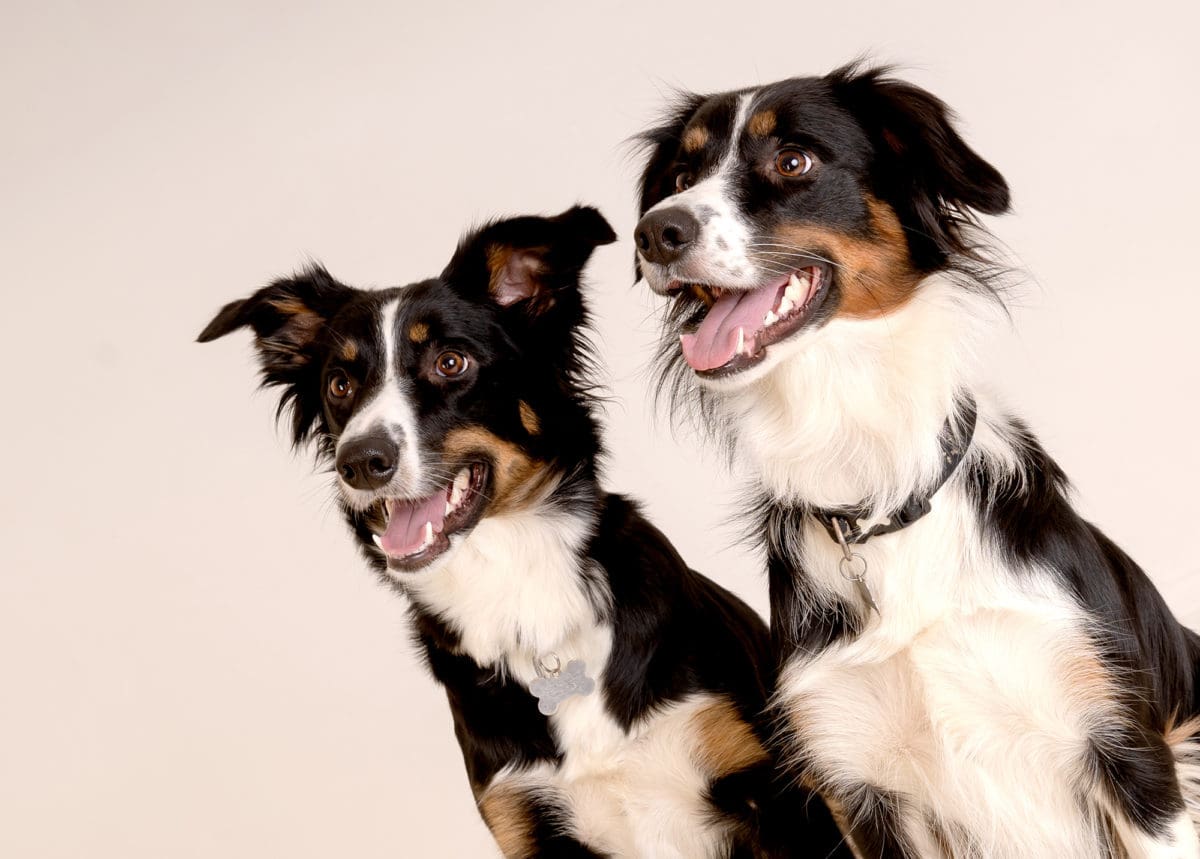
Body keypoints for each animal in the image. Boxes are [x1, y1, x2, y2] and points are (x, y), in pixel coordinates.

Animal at [199, 205, 854, 854]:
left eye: (451, 362)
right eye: (340, 384)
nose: (360, 461)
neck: (521, 592)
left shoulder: (777, 801)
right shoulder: (524, 816)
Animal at [633, 65, 1200, 858]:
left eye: (794, 160)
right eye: (682, 175)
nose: (654, 232)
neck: (877, 491)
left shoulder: (1129, 749)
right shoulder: (861, 784)